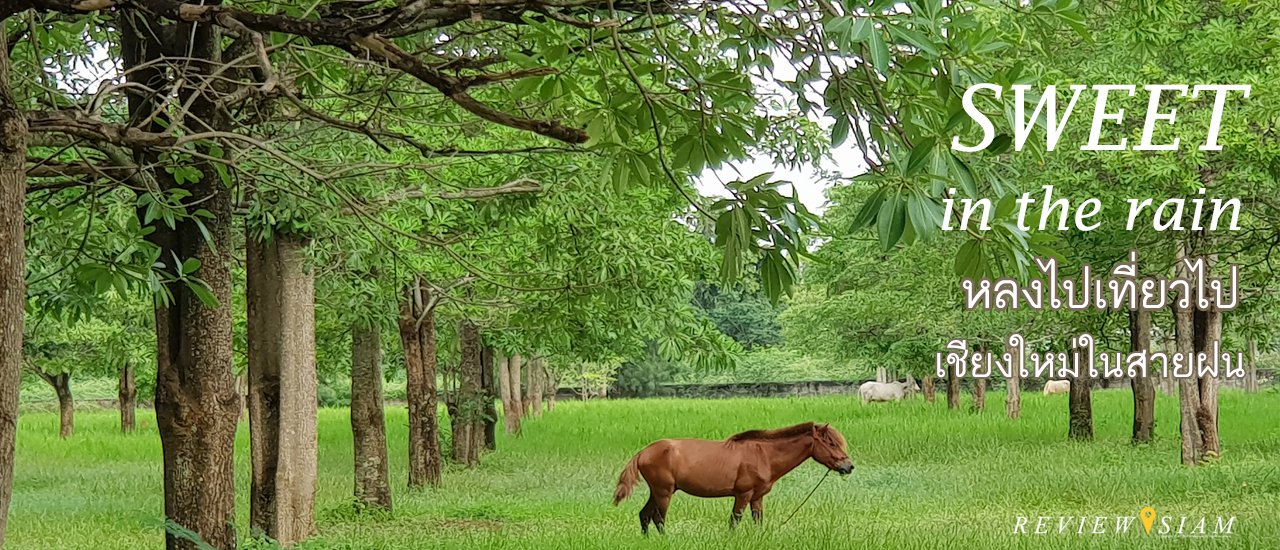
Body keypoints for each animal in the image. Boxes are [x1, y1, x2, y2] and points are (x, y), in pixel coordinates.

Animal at [609, 422, 849, 532]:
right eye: (831, 443)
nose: (849, 466)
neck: (764, 455)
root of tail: (643, 452)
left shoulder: (757, 497)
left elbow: (757, 521)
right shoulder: (743, 495)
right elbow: (734, 521)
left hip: (657, 491)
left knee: (644, 516)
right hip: (664, 493)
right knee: (658, 519)